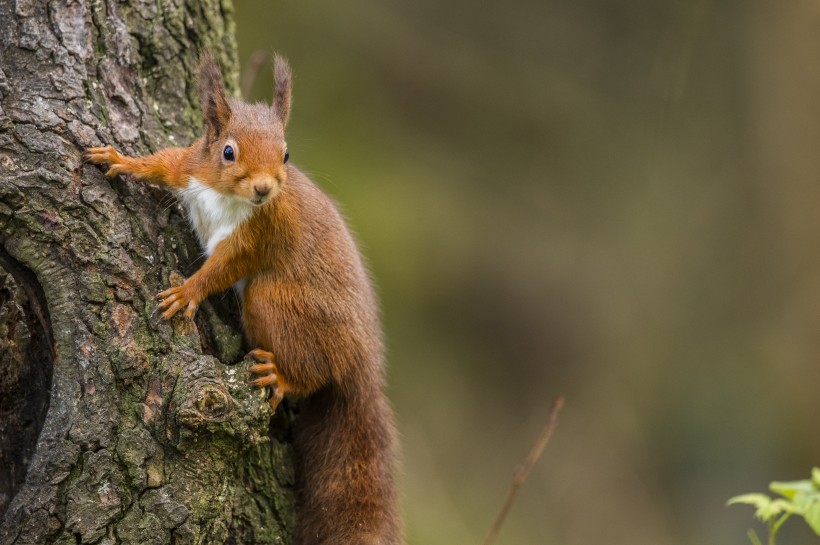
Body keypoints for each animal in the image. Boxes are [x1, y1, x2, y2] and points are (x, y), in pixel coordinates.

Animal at [85, 52, 400, 544]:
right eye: (228, 151)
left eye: (286, 154)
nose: (264, 189)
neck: (225, 195)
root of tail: (360, 366)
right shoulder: (190, 166)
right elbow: (163, 163)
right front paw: (118, 158)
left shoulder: (258, 236)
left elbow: (222, 269)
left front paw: (187, 292)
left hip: (272, 302)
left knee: (312, 375)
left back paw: (281, 375)